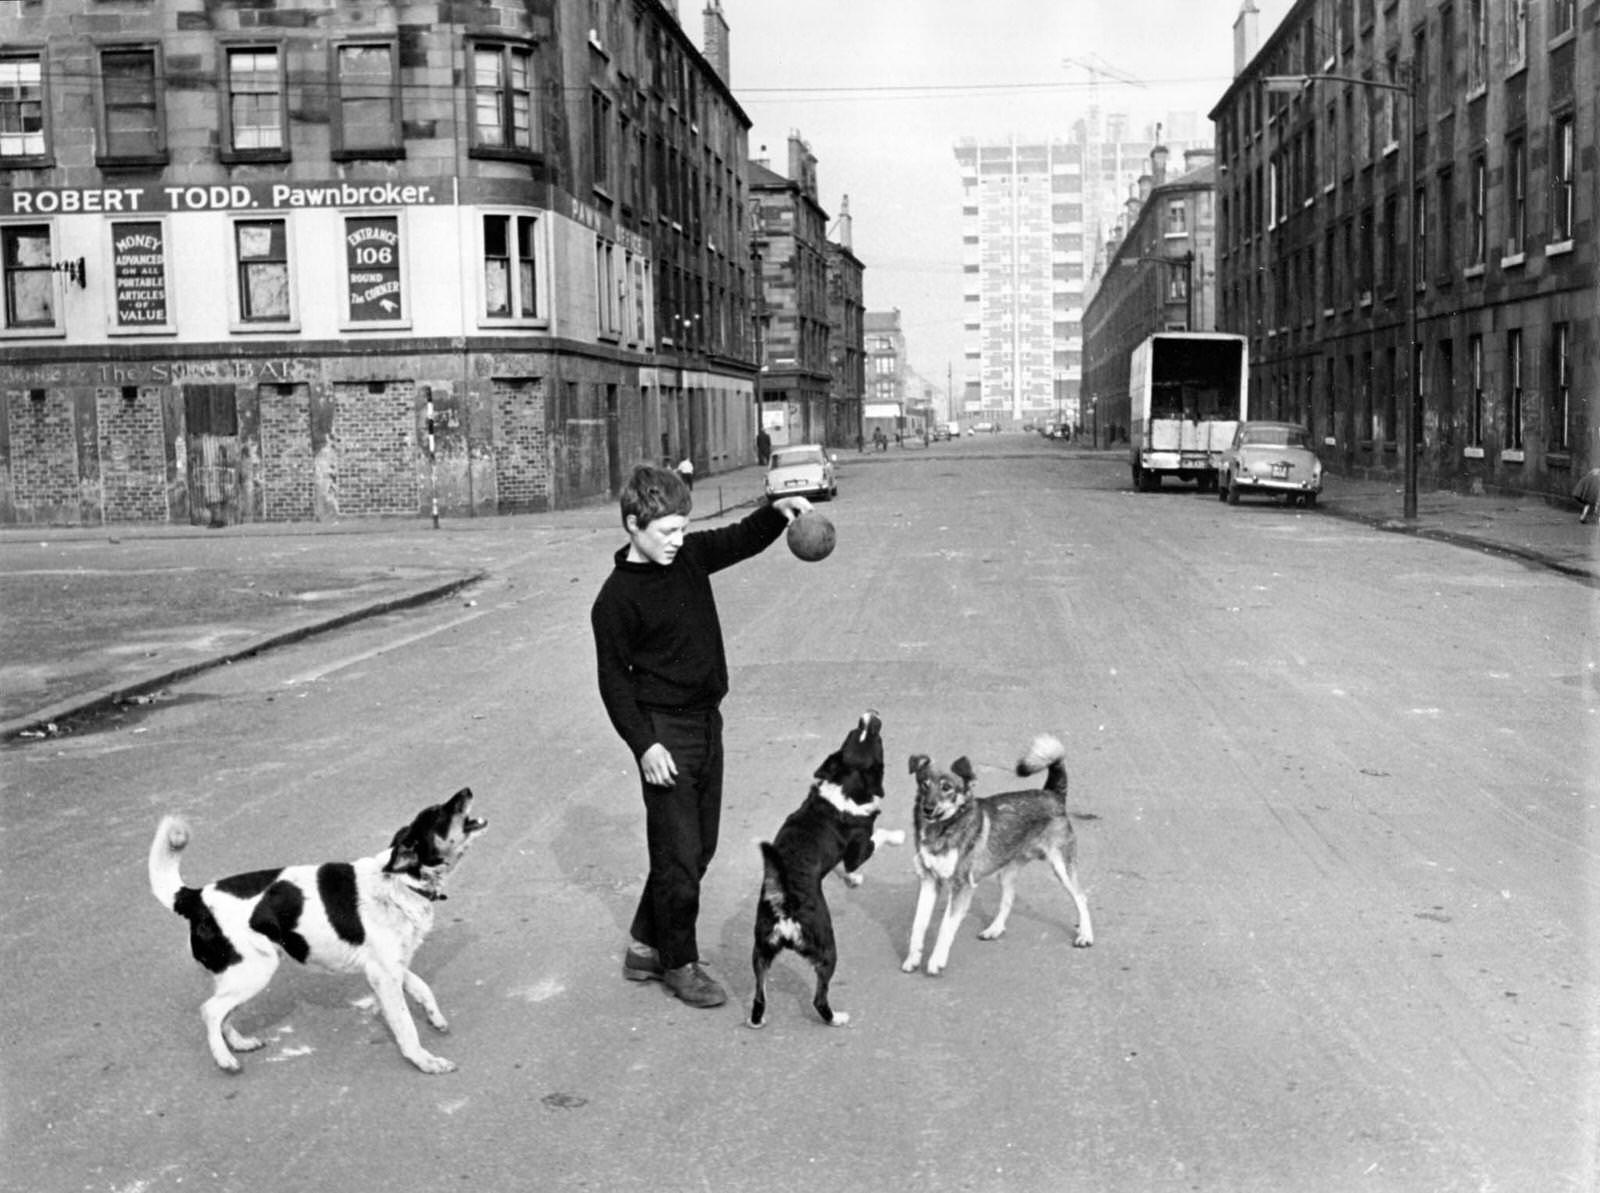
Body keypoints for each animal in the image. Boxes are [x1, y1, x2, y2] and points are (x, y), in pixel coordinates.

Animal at [149, 786, 486, 1074]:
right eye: (440, 813)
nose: (467, 790)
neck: (402, 881)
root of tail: (195, 896)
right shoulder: (383, 974)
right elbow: (405, 1025)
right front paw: (425, 1061)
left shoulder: (392, 966)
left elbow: (422, 989)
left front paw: (435, 1018)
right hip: (255, 970)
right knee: (210, 1010)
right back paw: (224, 1059)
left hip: (238, 974)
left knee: (224, 1013)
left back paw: (239, 1043)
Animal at [745, 710, 902, 1029]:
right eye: (873, 738)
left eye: (853, 733)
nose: (868, 715)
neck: (845, 785)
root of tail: (785, 905)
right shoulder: (858, 848)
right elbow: (878, 837)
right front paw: (898, 837)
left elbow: (846, 868)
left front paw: (852, 879)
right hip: (827, 949)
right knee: (819, 998)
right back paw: (836, 1018)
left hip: (761, 952)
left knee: (759, 995)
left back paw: (758, 1019)